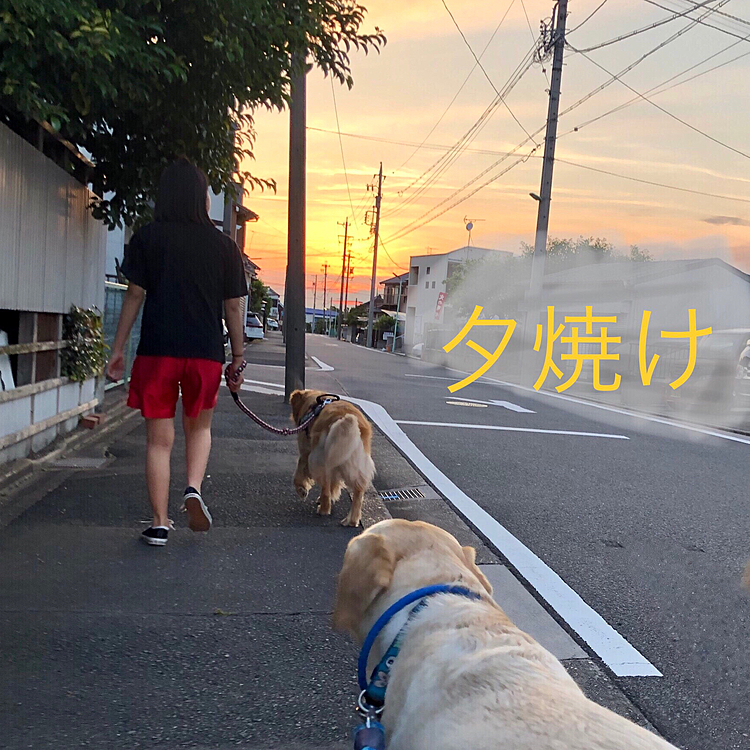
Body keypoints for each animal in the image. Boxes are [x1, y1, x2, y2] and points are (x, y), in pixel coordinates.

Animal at [290, 390, 374, 524]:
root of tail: (346, 419)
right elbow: (334, 483)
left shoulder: (305, 451)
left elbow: (299, 473)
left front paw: (302, 489)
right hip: (356, 462)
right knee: (358, 491)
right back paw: (352, 520)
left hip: (318, 459)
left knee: (325, 486)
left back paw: (324, 509)